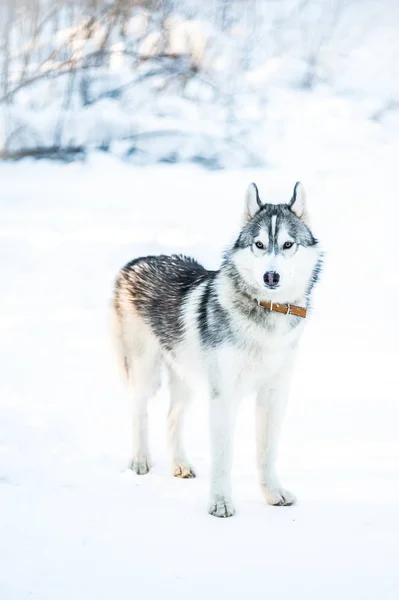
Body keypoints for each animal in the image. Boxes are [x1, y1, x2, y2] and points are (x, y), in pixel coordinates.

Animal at [111, 182, 322, 516]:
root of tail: (136, 261)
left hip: (185, 378)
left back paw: (180, 465)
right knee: (138, 411)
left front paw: (273, 494)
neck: (265, 315)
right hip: (146, 372)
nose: (271, 276)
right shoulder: (224, 396)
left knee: (171, 418)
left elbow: (267, 452)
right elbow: (223, 458)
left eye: (288, 244)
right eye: (259, 244)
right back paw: (140, 460)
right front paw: (220, 503)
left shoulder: (274, 395)